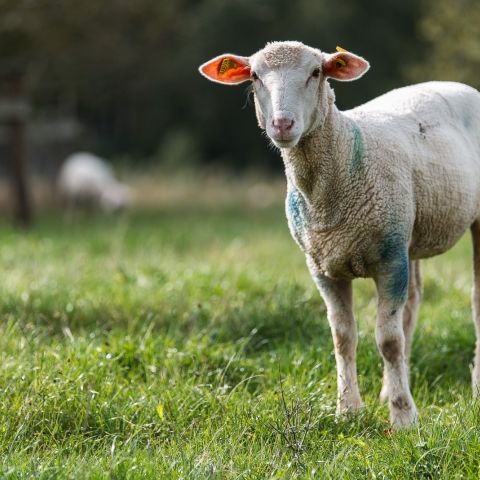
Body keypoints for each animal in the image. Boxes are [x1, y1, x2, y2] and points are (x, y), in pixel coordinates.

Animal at [201, 42, 480, 428]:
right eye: (255, 76)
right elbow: (343, 337)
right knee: (412, 304)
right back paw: (391, 387)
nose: (282, 124)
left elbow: (388, 341)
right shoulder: (323, 266)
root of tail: (458, 85)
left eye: (316, 72)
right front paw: (348, 409)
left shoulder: (389, 260)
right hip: (407, 234)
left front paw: (403, 418)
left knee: (473, 302)